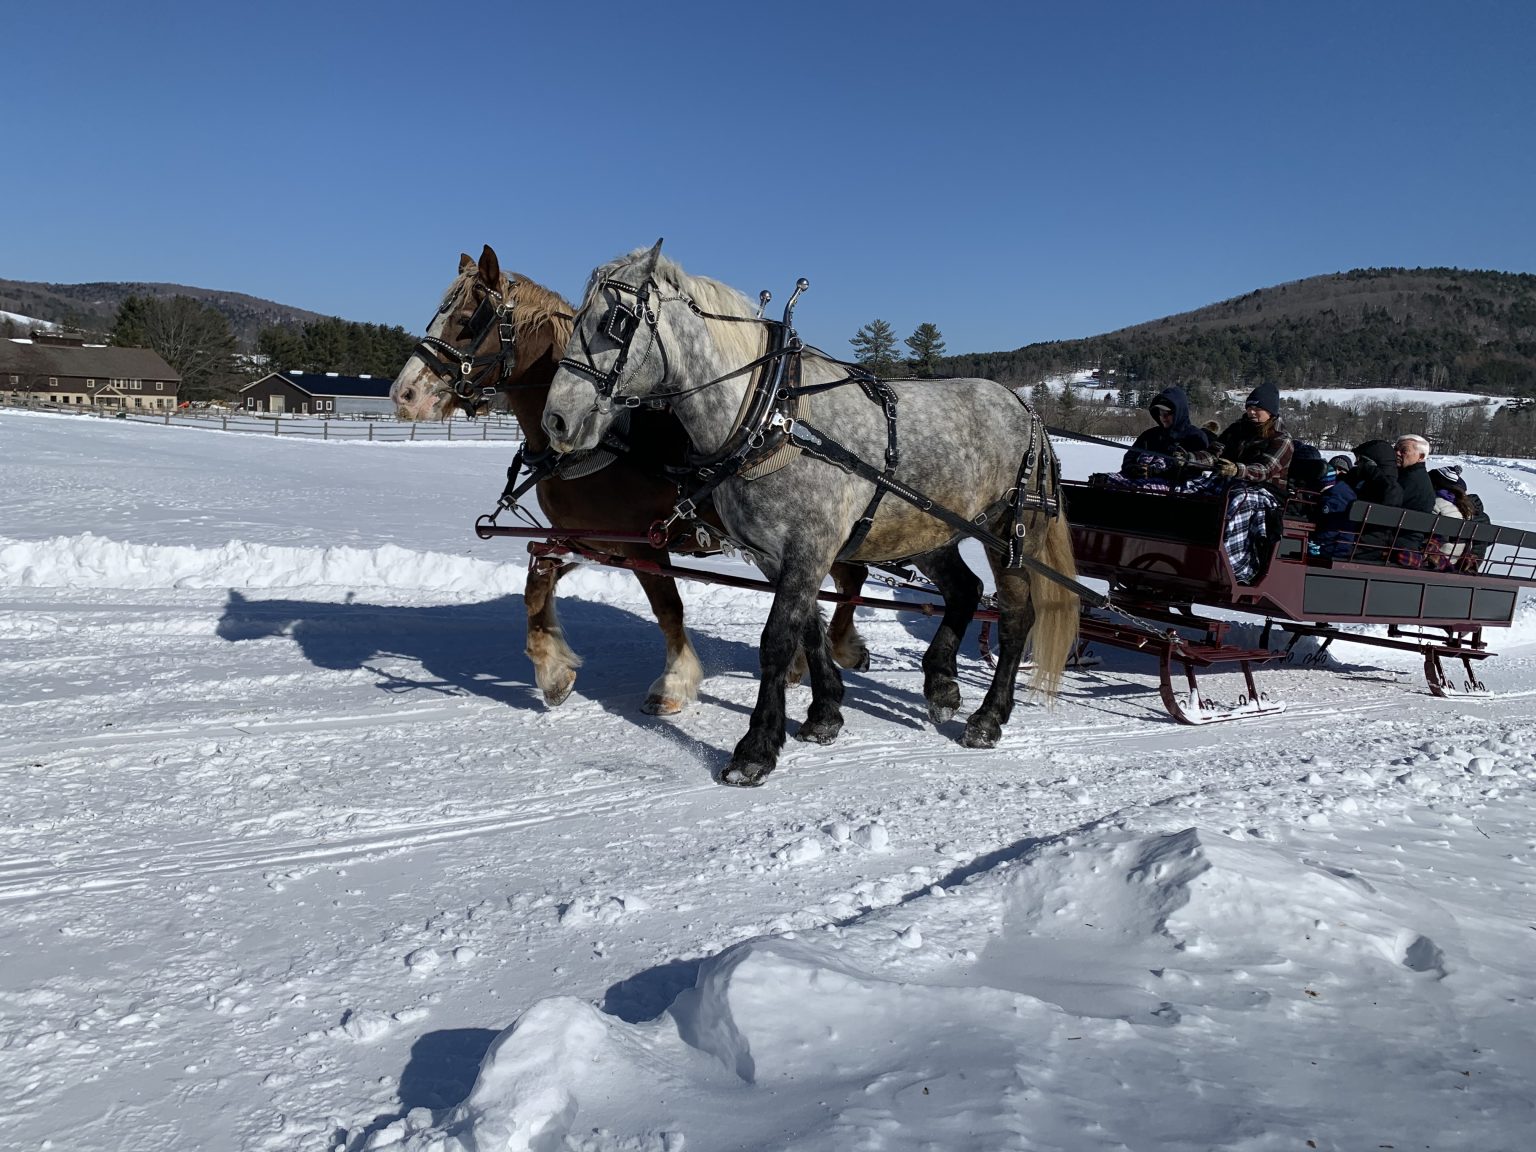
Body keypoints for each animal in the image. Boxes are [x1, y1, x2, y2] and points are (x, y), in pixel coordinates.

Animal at [390, 248, 872, 718]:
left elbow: (668, 608)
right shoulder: (587, 538)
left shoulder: (643, 543)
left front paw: (673, 684)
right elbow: (535, 587)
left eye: (467, 320)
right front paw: (553, 671)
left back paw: (842, 648)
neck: (607, 440)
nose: (403, 394)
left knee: (853, 575)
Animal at [540, 244, 1081, 786]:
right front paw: (825, 714)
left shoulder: (810, 546)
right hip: (927, 530)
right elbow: (810, 628)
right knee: (965, 591)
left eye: (615, 321)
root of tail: (1026, 409)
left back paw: (988, 718)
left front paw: (756, 749)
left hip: (1009, 534)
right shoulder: (773, 555)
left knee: (1016, 616)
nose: (556, 420)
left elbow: (778, 639)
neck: (770, 415)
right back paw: (942, 684)